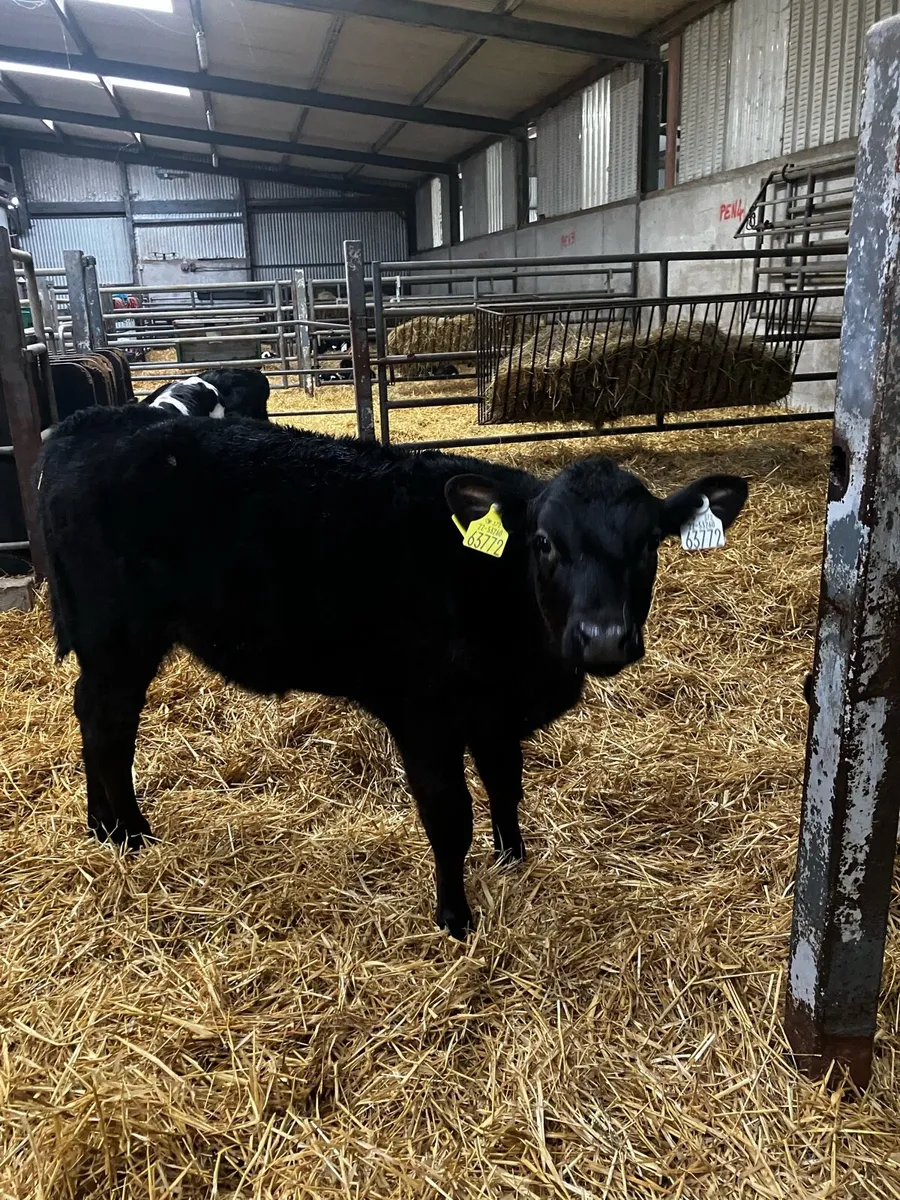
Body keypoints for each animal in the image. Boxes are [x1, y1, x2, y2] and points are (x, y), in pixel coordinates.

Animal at [38, 406, 748, 938]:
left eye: (650, 544)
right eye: (544, 542)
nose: (603, 639)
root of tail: (91, 422)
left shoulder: (493, 712)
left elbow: (506, 786)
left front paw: (512, 860)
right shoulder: (425, 715)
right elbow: (450, 815)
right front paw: (455, 917)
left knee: (91, 714)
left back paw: (103, 826)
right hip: (119, 635)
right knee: (107, 723)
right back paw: (131, 834)